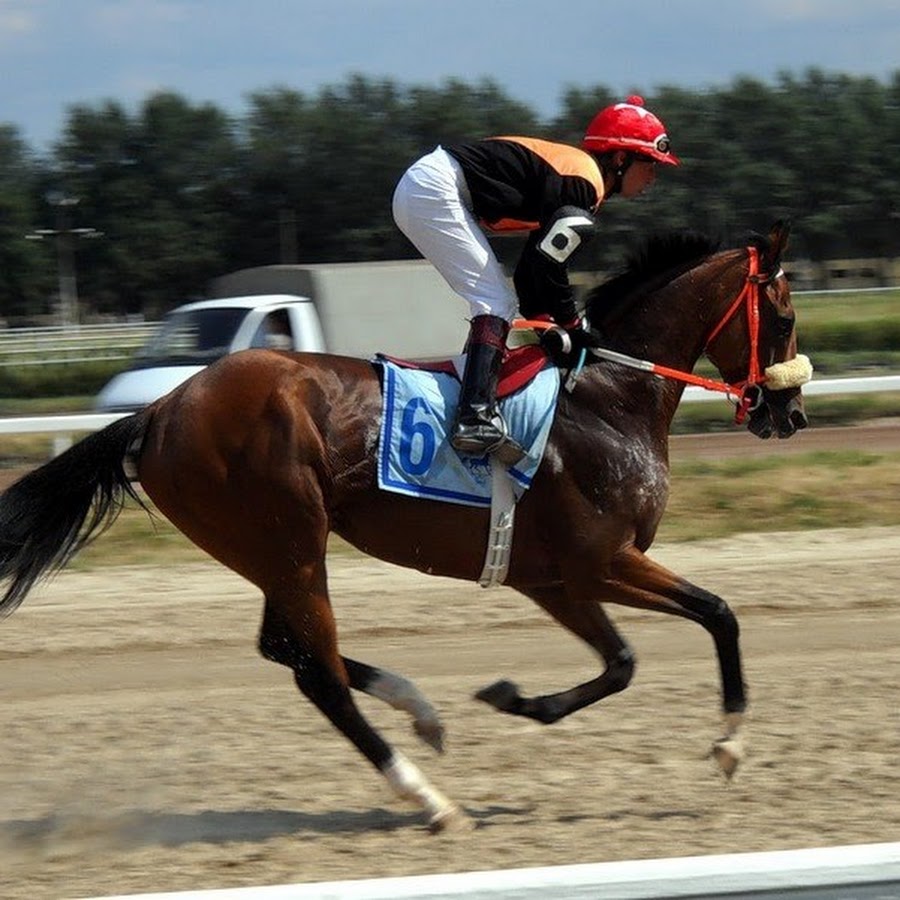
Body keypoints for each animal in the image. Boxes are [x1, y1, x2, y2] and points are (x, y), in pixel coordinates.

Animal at [0, 221, 808, 832]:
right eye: (787, 316)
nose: (789, 413)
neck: (608, 398)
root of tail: (160, 410)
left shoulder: (552, 578)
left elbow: (623, 663)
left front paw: (516, 699)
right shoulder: (601, 561)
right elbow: (719, 614)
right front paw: (730, 745)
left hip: (271, 548)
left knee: (288, 649)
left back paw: (419, 710)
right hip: (290, 542)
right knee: (317, 673)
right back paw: (429, 797)